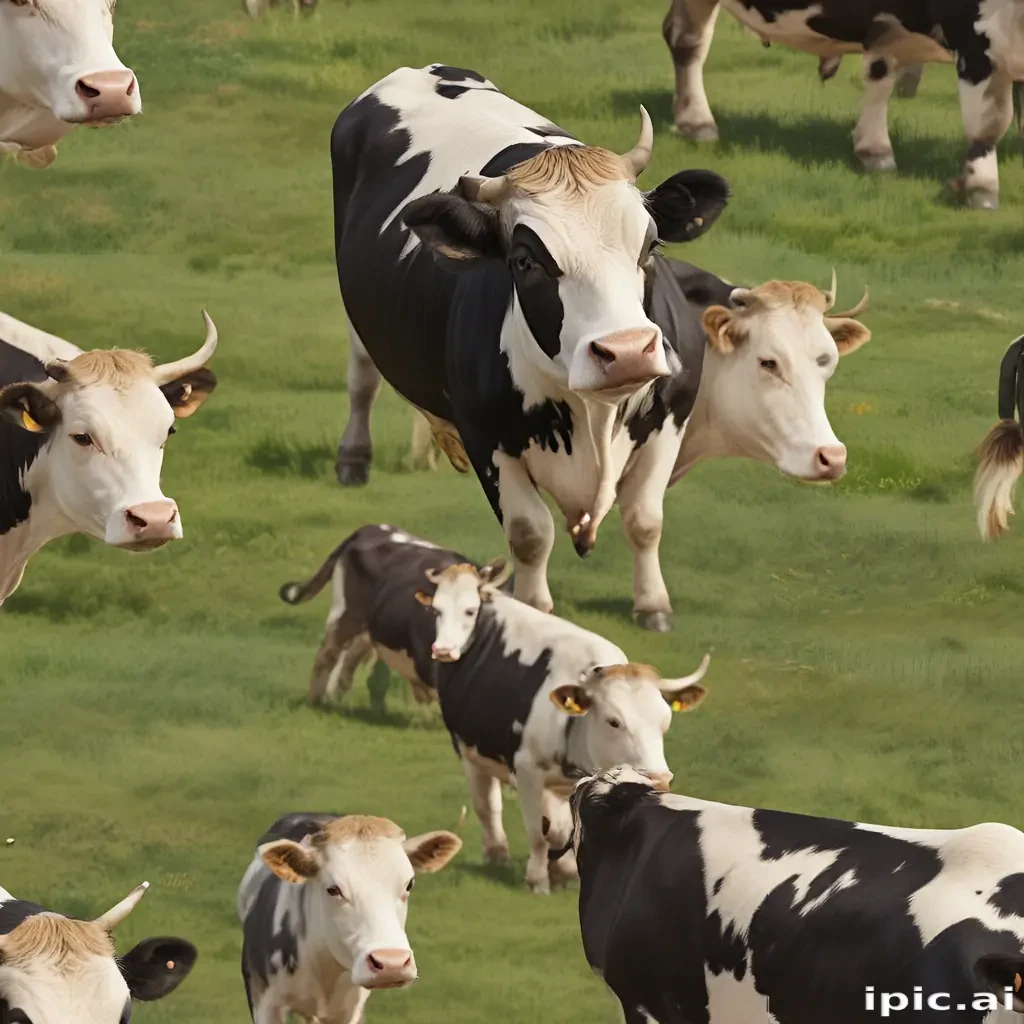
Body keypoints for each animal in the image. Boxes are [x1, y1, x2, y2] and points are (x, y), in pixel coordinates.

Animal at [279, 524, 712, 893]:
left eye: (665, 722)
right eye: (614, 721)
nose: (659, 778)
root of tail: (371, 529)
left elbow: (563, 830)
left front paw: (566, 873)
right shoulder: (527, 770)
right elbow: (538, 831)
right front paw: (538, 879)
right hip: (361, 633)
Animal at [331, 64, 871, 631]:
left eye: (651, 244)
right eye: (524, 260)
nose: (627, 350)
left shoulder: (668, 421)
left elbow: (644, 519)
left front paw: (653, 605)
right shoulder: (487, 438)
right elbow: (530, 533)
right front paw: (535, 612)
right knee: (362, 379)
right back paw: (353, 458)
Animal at [663, 0, 1024, 209]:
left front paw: (873, 149)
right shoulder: (975, 37)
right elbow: (989, 121)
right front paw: (983, 189)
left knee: (684, 35)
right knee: (689, 41)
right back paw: (698, 121)